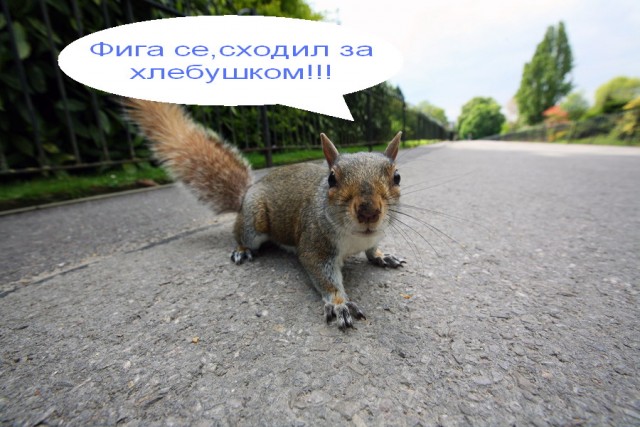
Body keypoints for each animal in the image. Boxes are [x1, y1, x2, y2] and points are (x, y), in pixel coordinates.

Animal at [125, 99, 405, 330]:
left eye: (397, 177)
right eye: (331, 179)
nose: (369, 211)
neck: (356, 239)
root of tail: (246, 195)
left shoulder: (374, 236)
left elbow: (372, 249)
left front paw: (382, 255)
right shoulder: (314, 244)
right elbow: (323, 275)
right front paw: (339, 304)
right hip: (254, 223)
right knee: (240, 234)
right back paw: (241, 250)